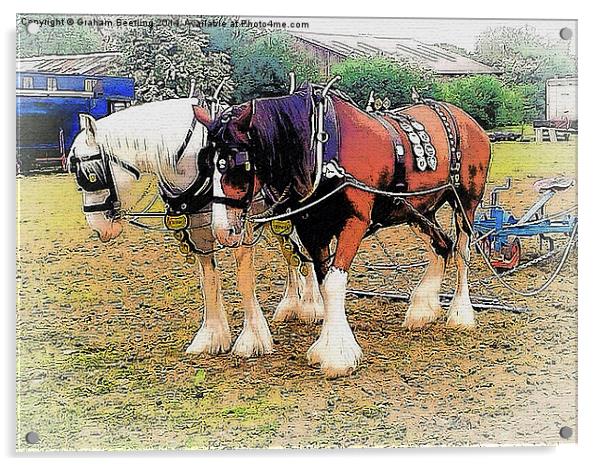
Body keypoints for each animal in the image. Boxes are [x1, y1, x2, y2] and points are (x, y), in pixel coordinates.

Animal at [68, 98, 324, 358]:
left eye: (88, 176)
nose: (99, 228)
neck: (197, 161)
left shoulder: (238, 230)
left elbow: (244, 280)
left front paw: (252, 339)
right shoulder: (199, 233)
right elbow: (208, 281)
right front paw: (212, 337)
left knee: (302, 252)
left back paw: (311, 306)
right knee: (290, 256)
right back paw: (291, 305)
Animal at [195, 84, 490, 378]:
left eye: (239, 163)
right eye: (206, 164)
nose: (221, 230)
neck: (321, 150)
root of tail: (469, 121)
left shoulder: (354, 222)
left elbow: (335, 282)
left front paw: (337, 354)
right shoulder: (312, 230)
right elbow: (324, 282)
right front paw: (330, 343)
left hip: (466, 204)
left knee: (461, 253)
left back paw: (460, 313)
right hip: (417, 210)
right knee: (442, 246)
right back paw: (422, 309)